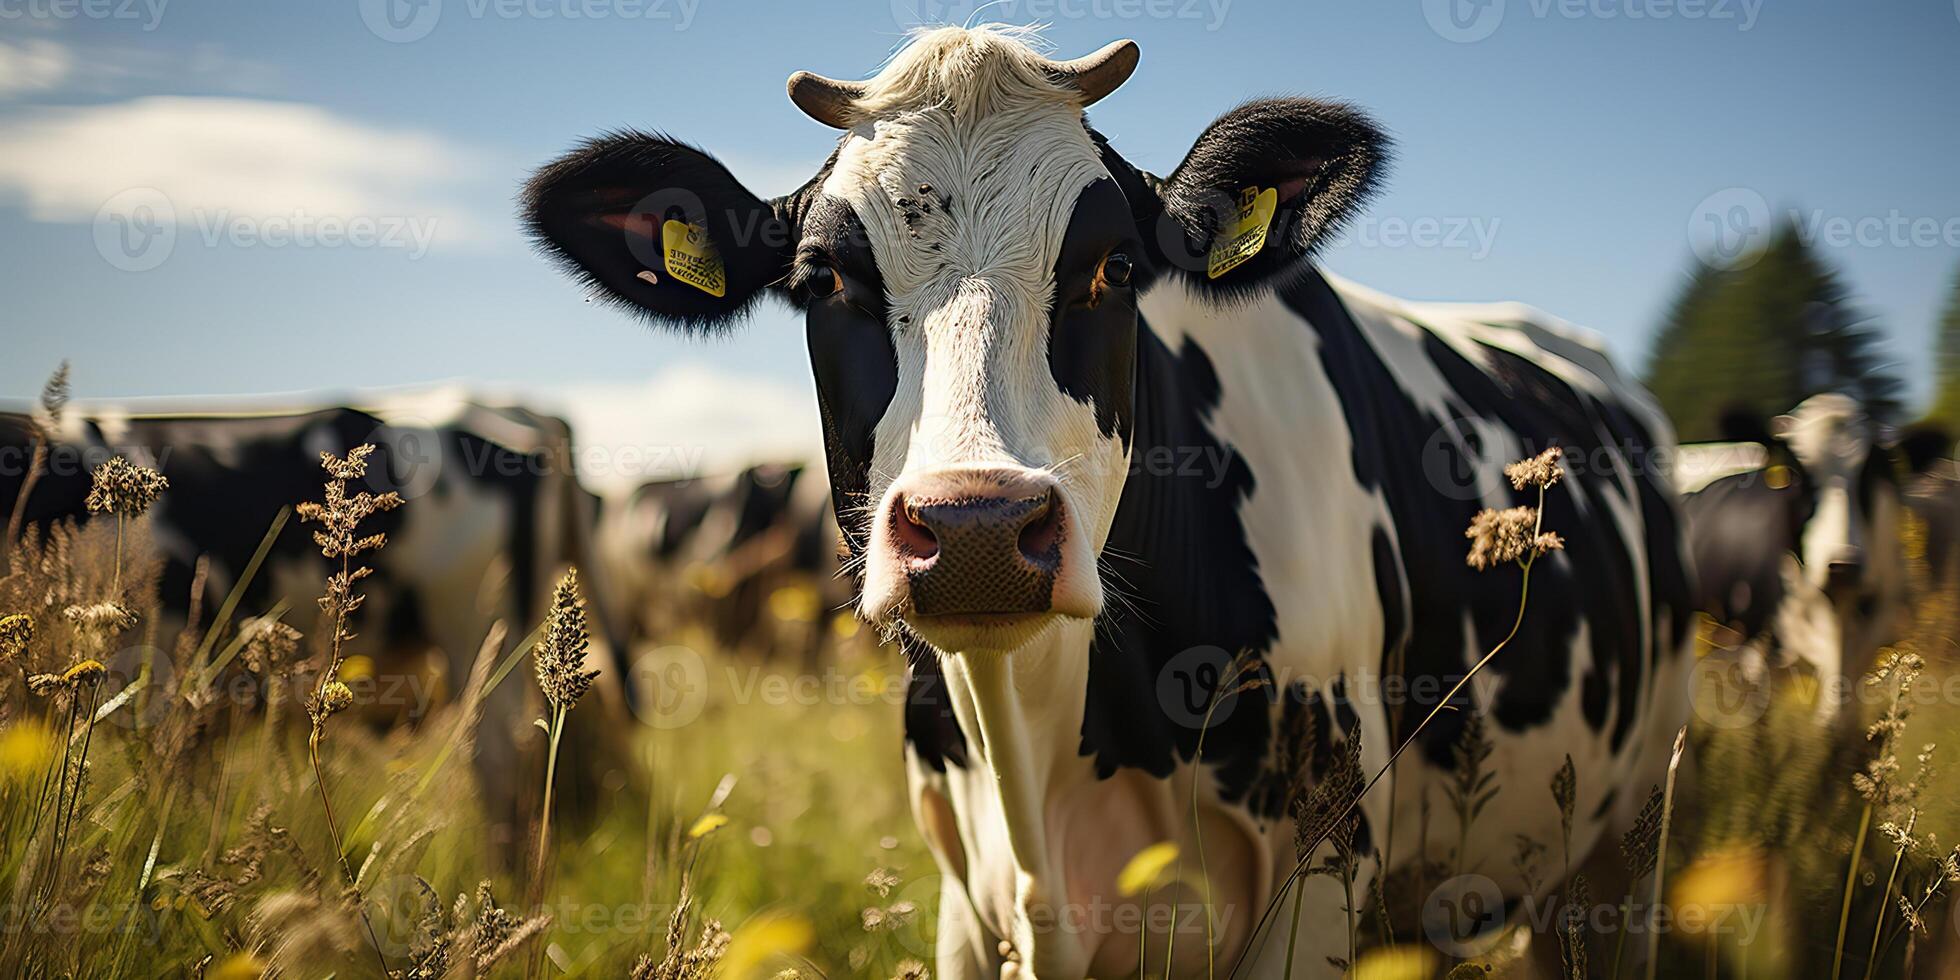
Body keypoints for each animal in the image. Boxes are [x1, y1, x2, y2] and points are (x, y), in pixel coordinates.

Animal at [525, 26, 1701, 976]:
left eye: (1119, 267)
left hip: (1626, 842)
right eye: (824, 281)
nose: (976, 530)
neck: (1043, 748)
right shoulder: (966, 905)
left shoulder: (1320, 873)